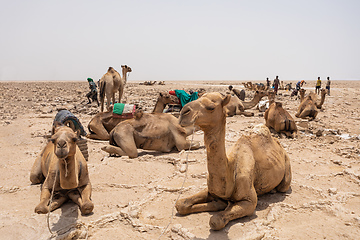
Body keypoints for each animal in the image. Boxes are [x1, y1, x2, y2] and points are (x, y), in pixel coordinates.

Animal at [175, 93, 292, 230]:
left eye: (211, 107)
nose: (184, 112)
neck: (230, 169)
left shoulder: (249, 201)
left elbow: (216, 220)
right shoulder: (212, 190)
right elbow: (180, 204)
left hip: (286, 167)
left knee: (283, 186)